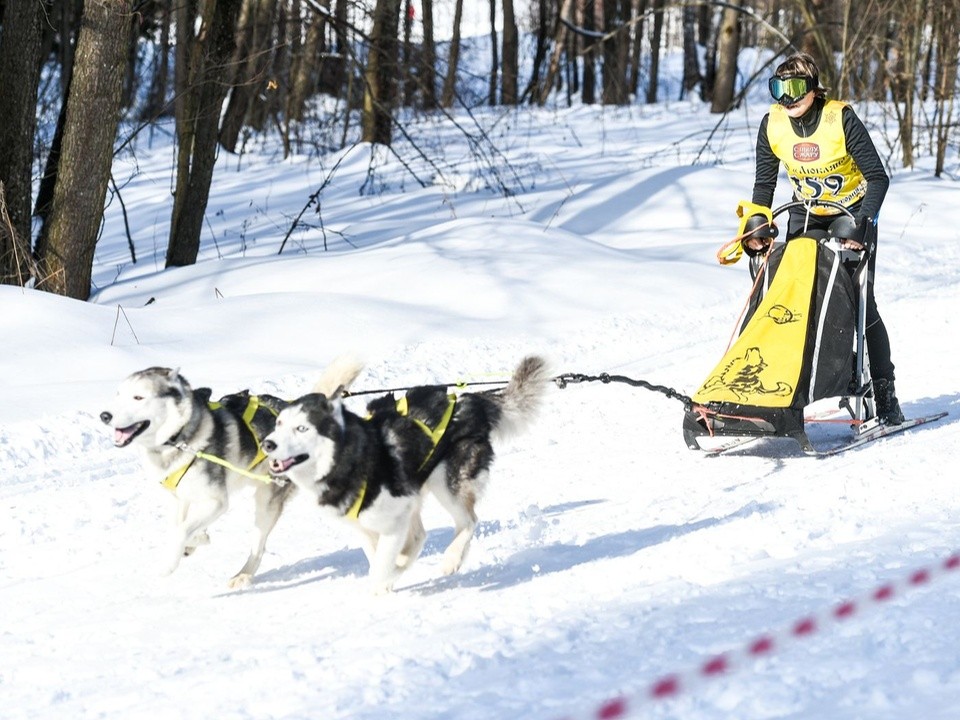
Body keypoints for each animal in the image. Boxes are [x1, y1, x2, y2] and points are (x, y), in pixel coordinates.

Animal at [100, 354, 364, 584]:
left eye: (138, 397)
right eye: (118, 395)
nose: (105, 415)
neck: (180, 437)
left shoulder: (217, 501)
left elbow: (182, 531)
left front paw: (169, 563)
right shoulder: (179, 500)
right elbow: (180, 528)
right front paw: (195, 540)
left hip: (266, 502)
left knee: (258, 547)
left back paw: (243, 576)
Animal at [258, 356, 552, 596]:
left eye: (302, 428)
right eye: (279, 424)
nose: (268, 444)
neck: (348, 459)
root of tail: (469, 401)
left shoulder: (395, 520)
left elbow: (384, 563)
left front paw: (383, 583)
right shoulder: (369, 525)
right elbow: (381, 555)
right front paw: (392, 574)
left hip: (446, 483)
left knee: (467, 522)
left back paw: (451, 559)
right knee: (422, 534)